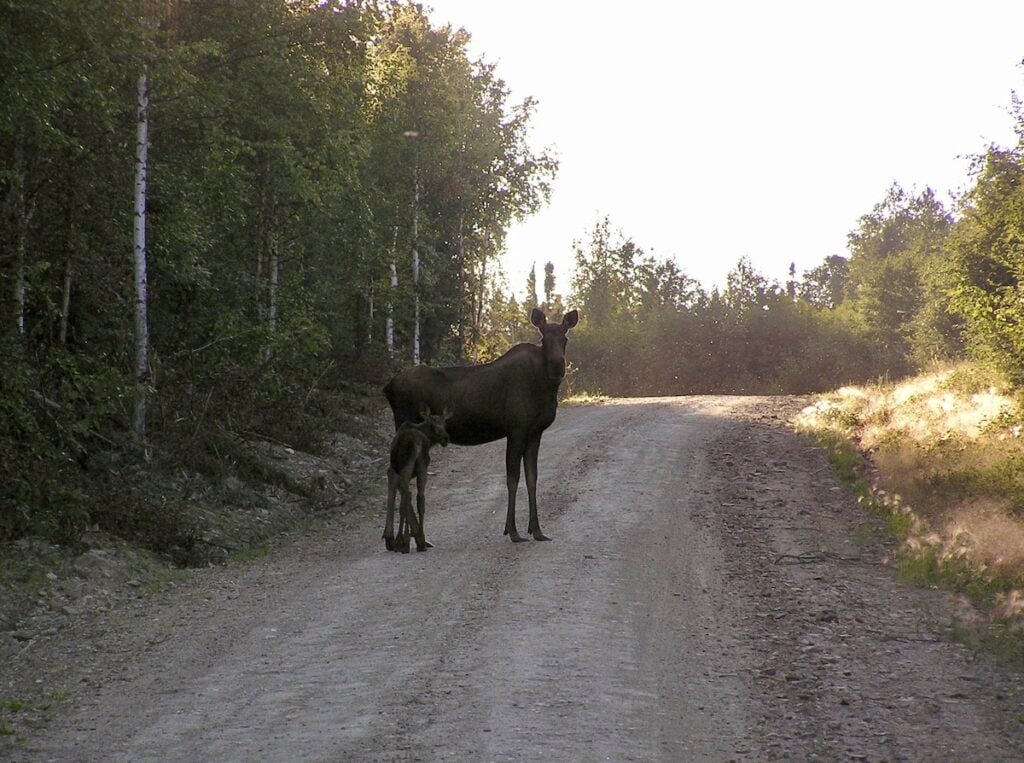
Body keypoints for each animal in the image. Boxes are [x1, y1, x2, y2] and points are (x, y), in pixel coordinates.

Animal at [383, 307, 579, 544]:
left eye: (565, 338)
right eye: (544, 339)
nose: (557, 366)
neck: (545, 388)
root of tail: (388, 387)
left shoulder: (535, 432)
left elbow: (532, 478)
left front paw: (537, 530)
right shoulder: (516, 430)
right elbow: (512, 479)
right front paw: (513, 531)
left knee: (394, 473)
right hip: (406, 427)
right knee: (396, 474)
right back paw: (403, 536)